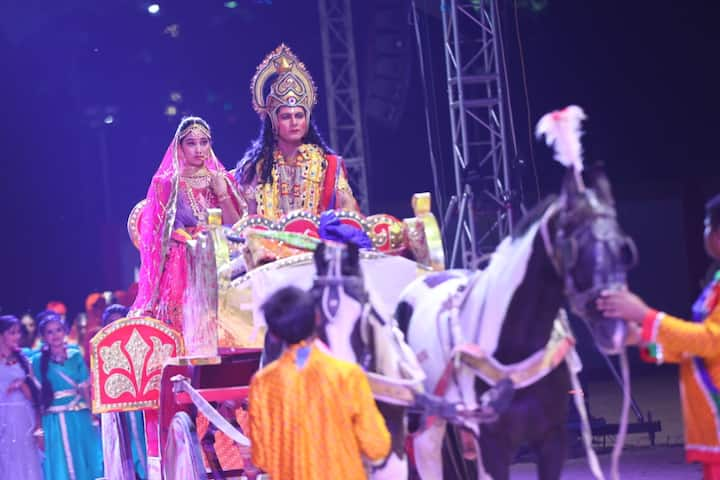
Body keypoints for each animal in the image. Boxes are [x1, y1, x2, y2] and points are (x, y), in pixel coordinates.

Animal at [396, 166, 640, 480]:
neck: (514, 345)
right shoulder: (492, 444)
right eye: (574, 246)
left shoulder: (552, 439)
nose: (615, 328)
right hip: (426, 426)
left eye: (624, 249)